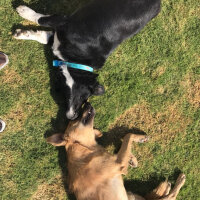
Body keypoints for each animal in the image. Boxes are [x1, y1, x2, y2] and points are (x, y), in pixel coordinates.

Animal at [14, 0, 161, 119]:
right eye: (79, 97)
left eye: (84, 99)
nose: (72, 117)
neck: (78, 59)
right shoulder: (63, 20)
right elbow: (41, 20)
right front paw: (24, 12)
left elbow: (44, 35)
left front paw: (23, 32)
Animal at [46, 102, 185, 199]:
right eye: (74, 120)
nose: (86, 103)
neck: (83, 148)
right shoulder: (118, 164)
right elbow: (128, 136)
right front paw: (140, 139)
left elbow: (124, 145)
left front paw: (132, 159)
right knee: (170, 197)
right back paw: (179, 181)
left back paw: (166, 187)